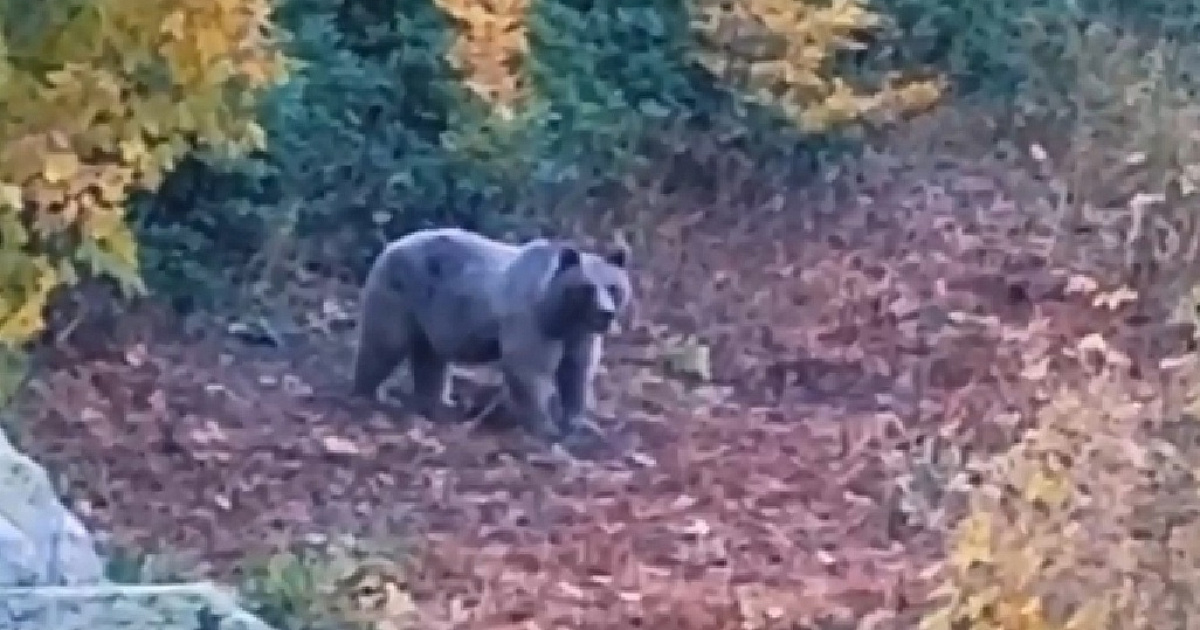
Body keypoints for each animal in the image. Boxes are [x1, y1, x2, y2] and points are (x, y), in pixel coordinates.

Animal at [350, 226, 638, 436]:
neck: (558, 314)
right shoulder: (530, 321)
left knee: (431, 358)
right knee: (383, 344)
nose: (605, 313)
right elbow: (529, 369)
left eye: (613, 287)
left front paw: (582, 423)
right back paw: (370, 395)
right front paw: (545, 426)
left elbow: (576, 371)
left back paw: (438, 404)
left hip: (433, 314)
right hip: (400, 292)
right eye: (586, 288)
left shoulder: (579, 335)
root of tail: (392, 245)